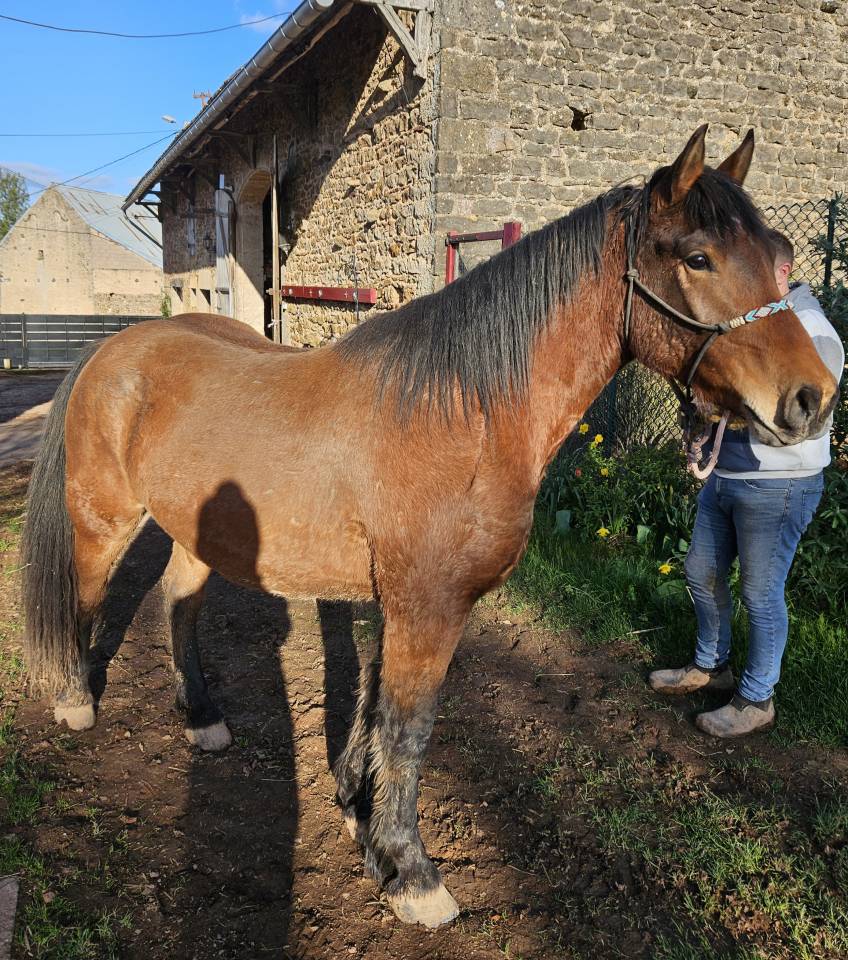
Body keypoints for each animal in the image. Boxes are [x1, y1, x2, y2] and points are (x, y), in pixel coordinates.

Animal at [22, 125, 838, 928]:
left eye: (777, 256)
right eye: (698, 257)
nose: (812, 399)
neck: (465, 413)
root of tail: (115, 348)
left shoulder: (403, 602)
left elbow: (375, 708)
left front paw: (359, 814)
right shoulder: (428, 607)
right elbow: (409, 729)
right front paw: (410, 874)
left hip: (199, 535)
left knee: (177, 605)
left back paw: (201, 717)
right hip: (103, 519)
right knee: (87, 597)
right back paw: (75, 700)